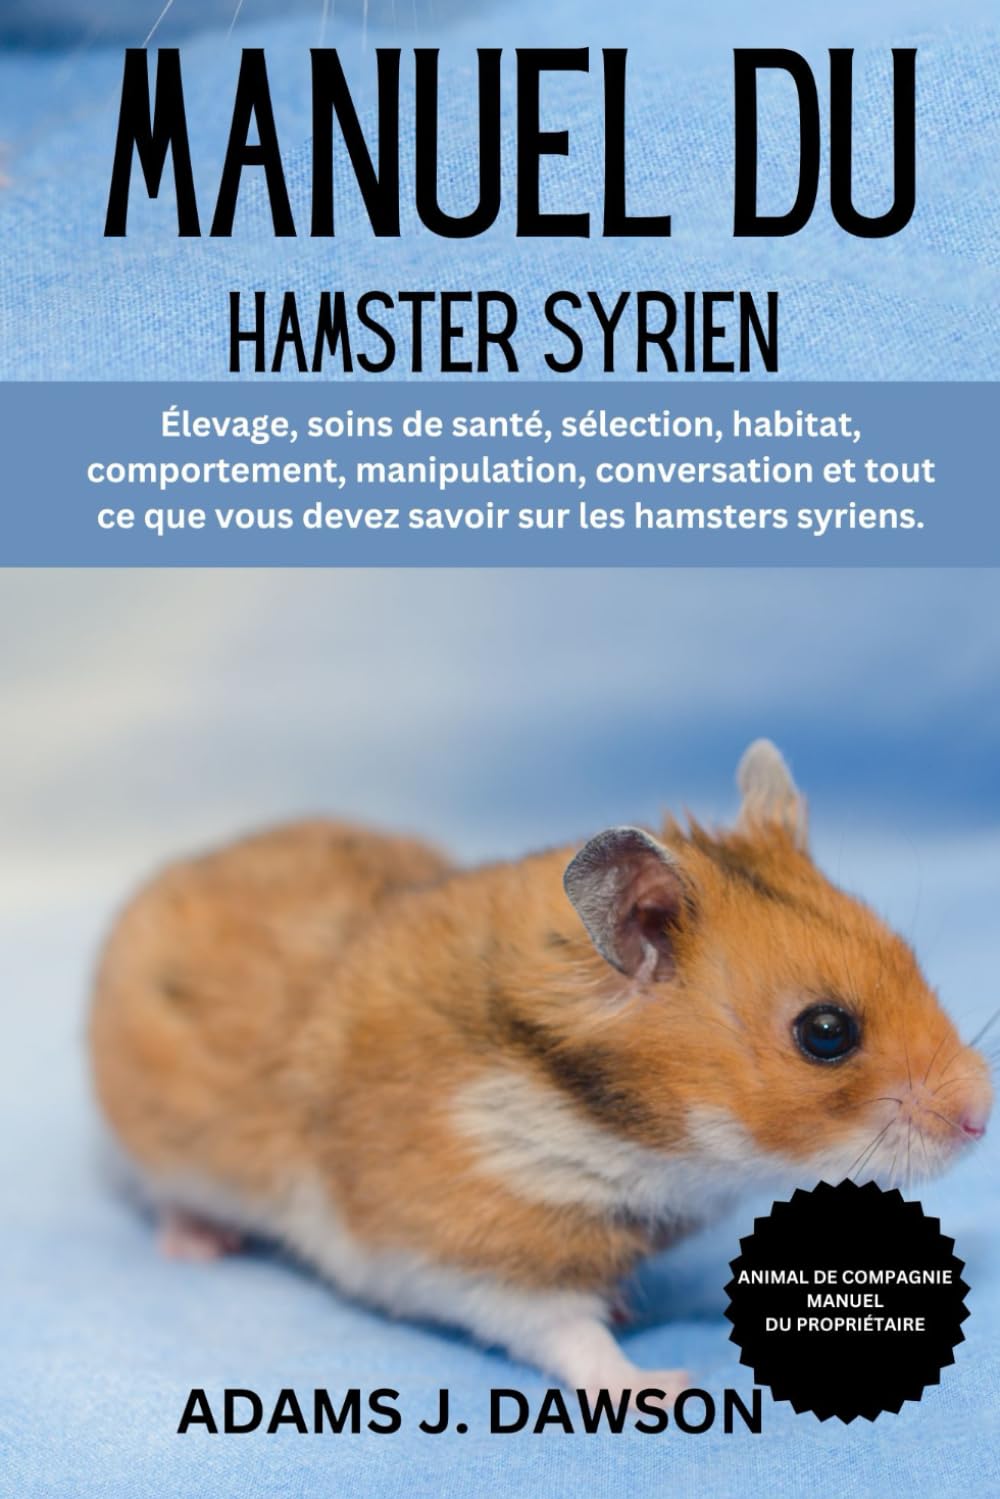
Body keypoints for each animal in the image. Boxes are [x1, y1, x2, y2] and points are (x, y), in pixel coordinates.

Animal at [89, 741, 992, 1399]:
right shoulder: (468, 1246)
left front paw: (630, 1307)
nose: (983, 1114)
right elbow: (563, 1329)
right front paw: (664, 1384)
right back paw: (197, 1245)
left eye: (909, 955)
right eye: (826, 1032)